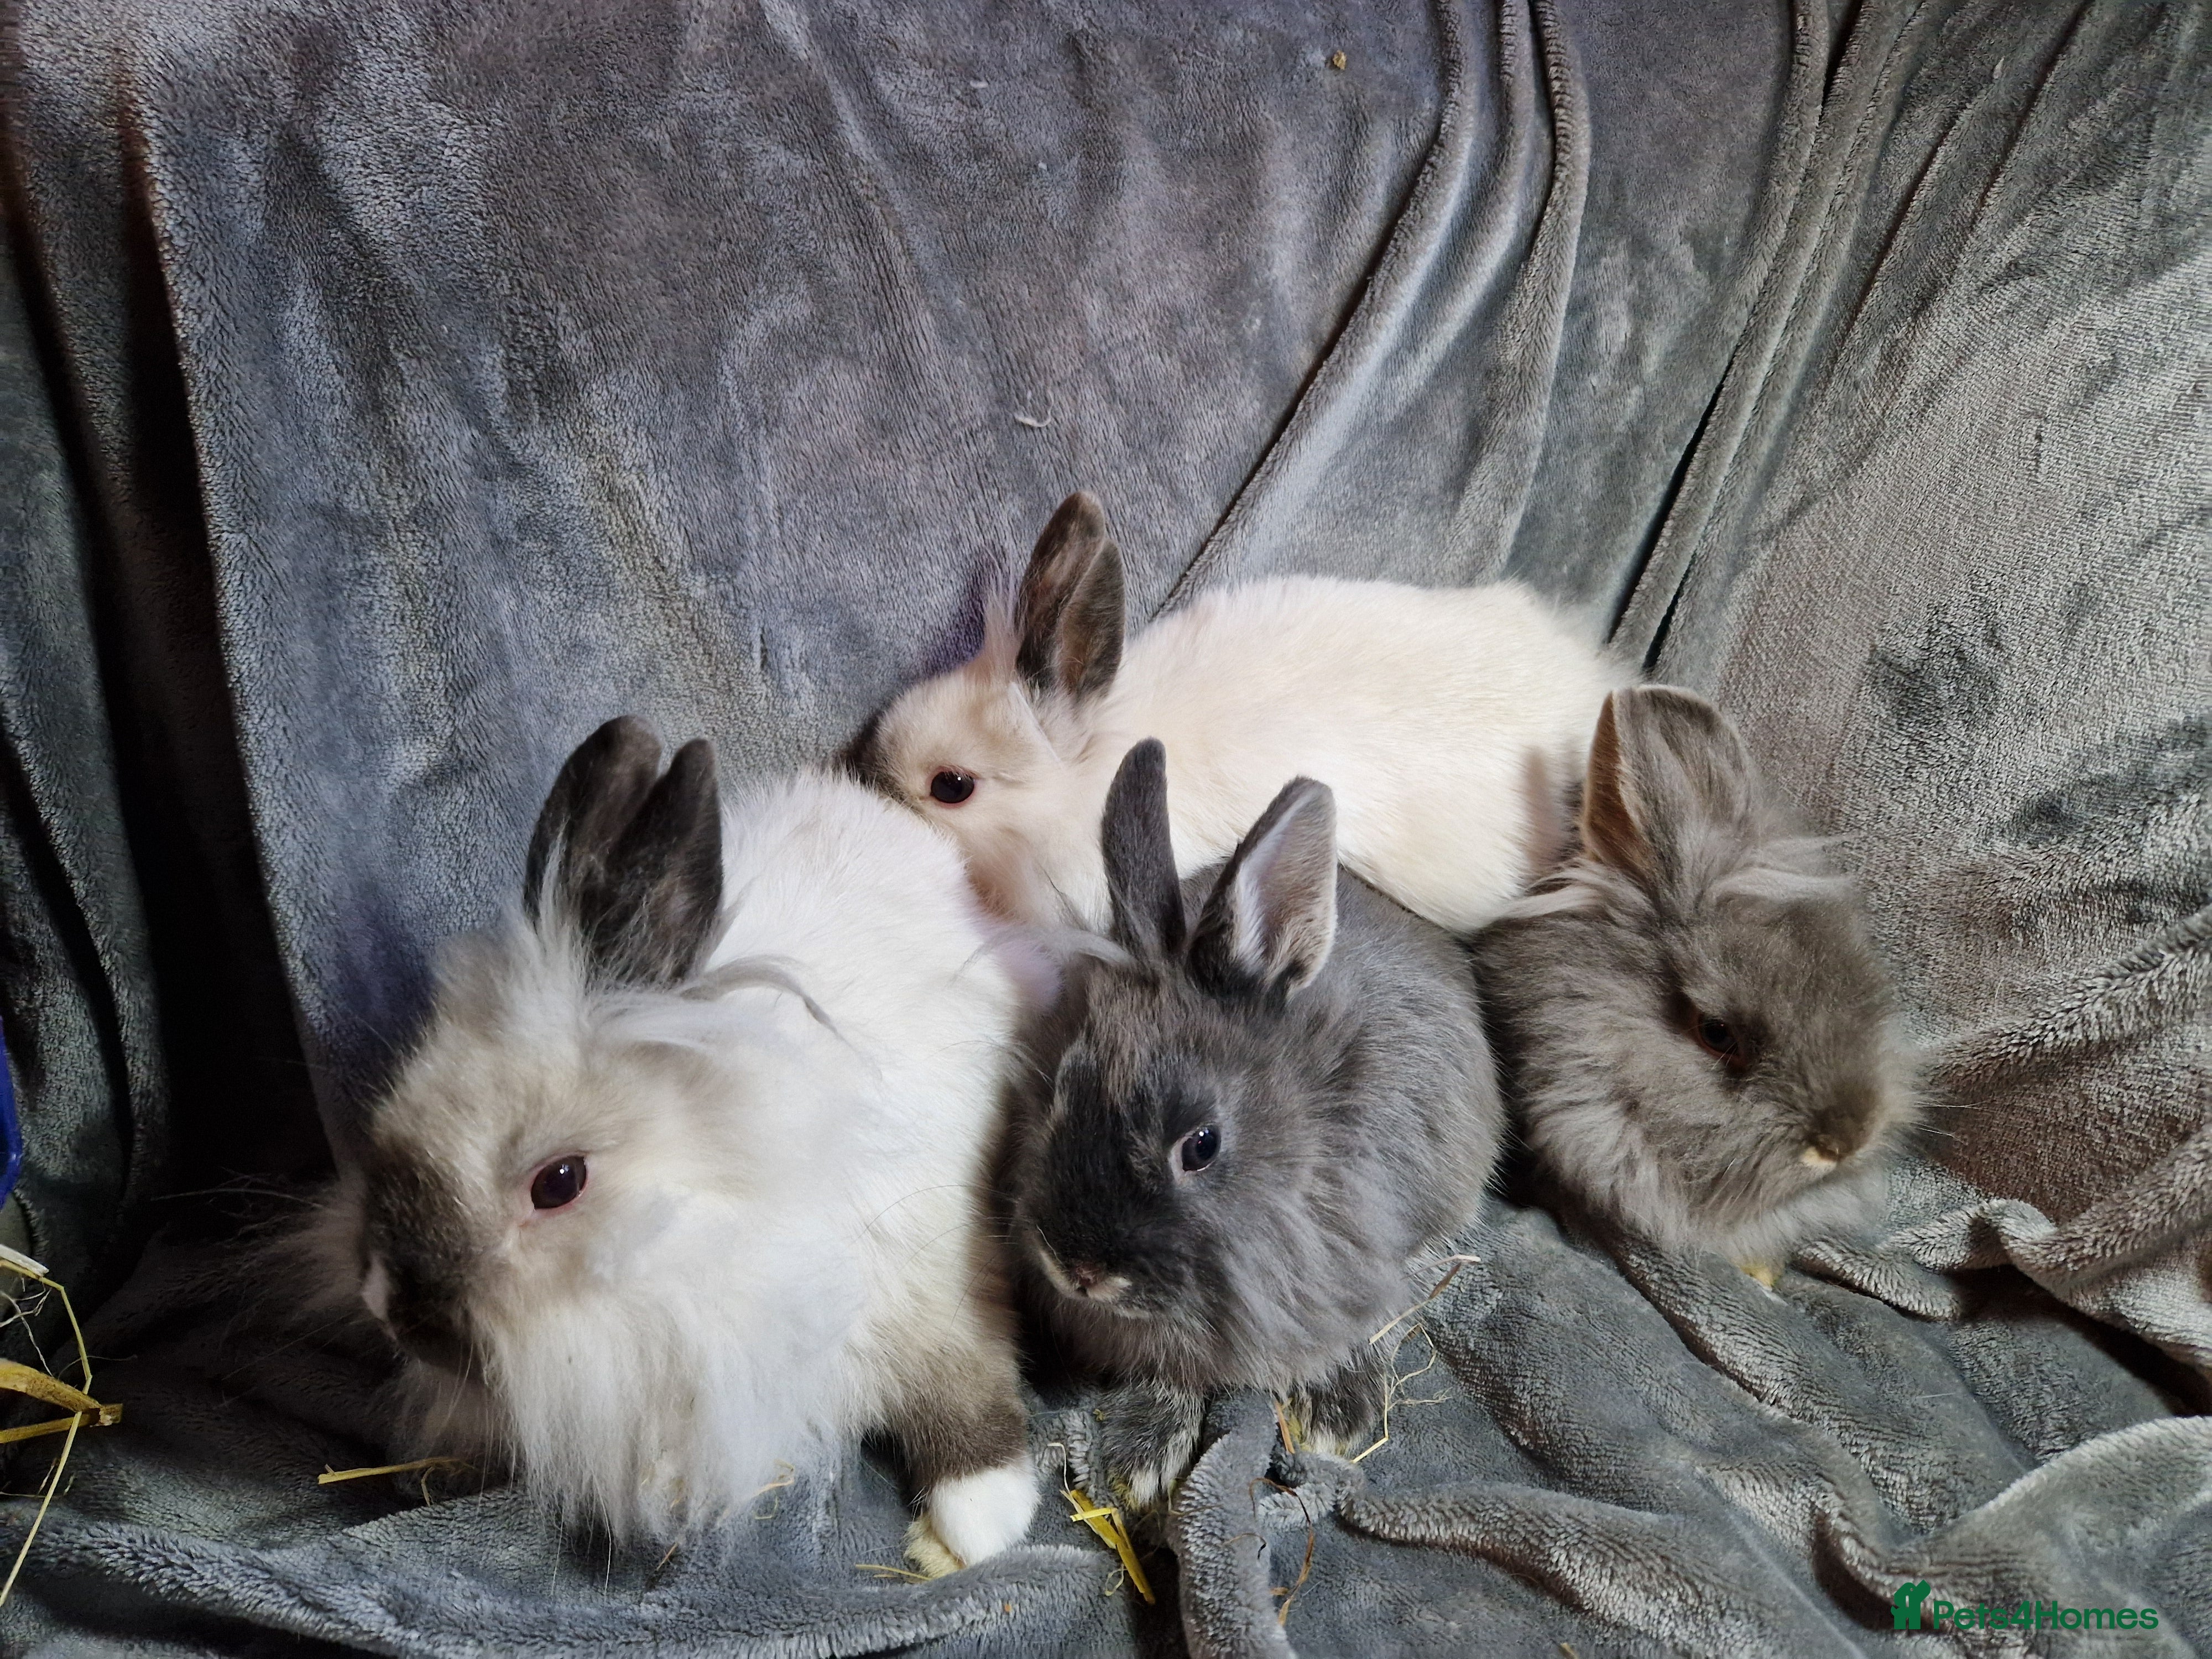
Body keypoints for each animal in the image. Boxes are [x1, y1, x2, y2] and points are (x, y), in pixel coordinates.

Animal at [1002, 738, 1504, 1506]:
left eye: (1201, 1146)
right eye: (1061, 1086)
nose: (1078, 1270)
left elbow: (1373, 1321)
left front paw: (1334, 1414)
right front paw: (1137, 1451)